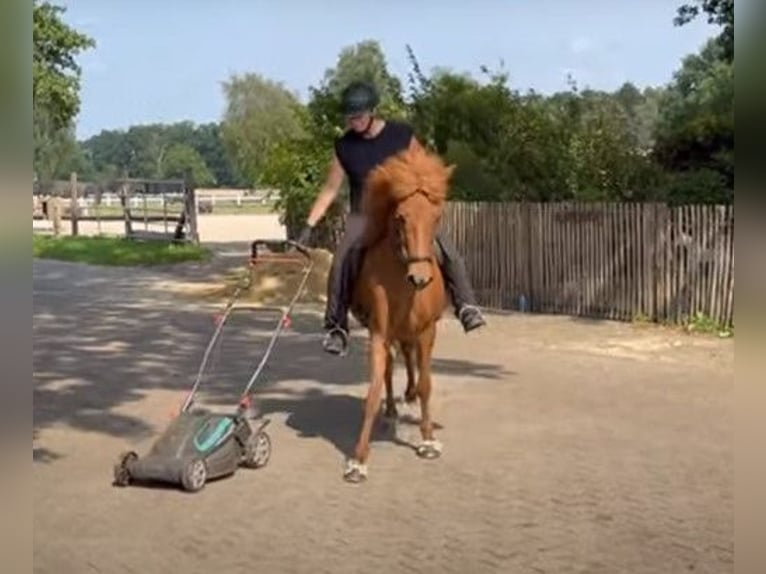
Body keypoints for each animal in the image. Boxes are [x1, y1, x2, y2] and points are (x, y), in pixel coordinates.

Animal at [344, 146, 456, 484]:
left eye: (436, 217)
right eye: (400, 217)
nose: (420, 278)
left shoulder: (427, 331)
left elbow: (426, 384)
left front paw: (428, 440)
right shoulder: (379, 333)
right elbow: (373, 391)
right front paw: (358, 460)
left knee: (408, 362)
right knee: (392, 367)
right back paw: (394, 408)